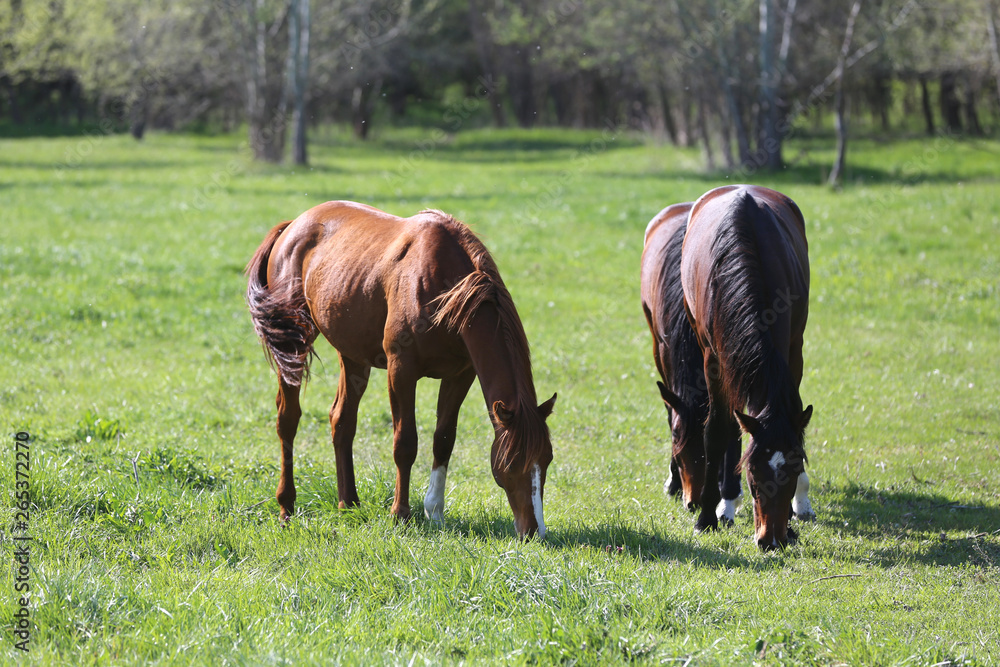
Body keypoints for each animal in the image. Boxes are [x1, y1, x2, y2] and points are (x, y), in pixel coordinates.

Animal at [245, 201, 557, 539]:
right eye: (513, 464)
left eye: (547, 459)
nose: (534, 531)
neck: (445, 289)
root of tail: (292, 226)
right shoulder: (401, 370)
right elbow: (405, 443)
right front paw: (401, 515)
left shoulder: (460, 375)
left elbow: (443, 440)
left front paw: (435, 512)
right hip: (292, 342)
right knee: (288, 419)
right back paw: (286, 508)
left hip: (353, 354)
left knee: (341, 419)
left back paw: (348, 503)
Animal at [680, 185, 814, 550]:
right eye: (753, 474)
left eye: (792, 470)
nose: (772, 539)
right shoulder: (714, 360)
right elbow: (717, 431)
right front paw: (707, 517)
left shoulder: (792, 350)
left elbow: (796, 420)